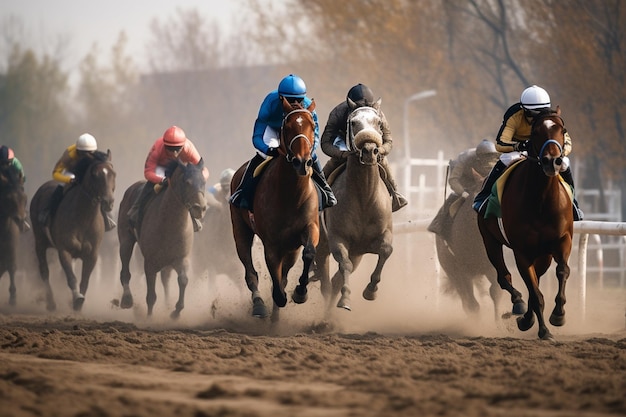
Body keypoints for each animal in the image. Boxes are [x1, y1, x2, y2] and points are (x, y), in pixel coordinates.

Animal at [29, 151, 114, 310]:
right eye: (95, 174)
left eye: (113, 174)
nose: (108, 202)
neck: (84, 218)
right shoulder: (64, 250)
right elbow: (71, 277)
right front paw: (77, 298)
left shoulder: (92, 255)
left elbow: (84, 281)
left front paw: (77, 305)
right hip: (40, 241)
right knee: (44, 271)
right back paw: (51, 303)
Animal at [116, 158, 206, 316]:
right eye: (186, 182)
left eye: (204, 182)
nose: (199, 208)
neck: (169, 225)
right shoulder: (150, 263)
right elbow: (151, 296)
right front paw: (150, 317)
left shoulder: (180, 258)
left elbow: (183, 280)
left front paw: (175, 312)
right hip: (125, 239)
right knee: (125, 271)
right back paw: (127, 299)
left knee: (166, 279)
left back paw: (167, 304)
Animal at [228, 97, 316, 318]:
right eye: (288, 126)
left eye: (312, 126)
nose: (302, 162)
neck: (291, 196)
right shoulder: (271, 243)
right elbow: (275, 278)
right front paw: (279, 297)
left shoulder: (308, 229)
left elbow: (309, 254)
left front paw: (300, 293)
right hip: (240, 229)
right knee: (250, 271)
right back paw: (259, 305)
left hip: (291, 248)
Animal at [314, 105, 392, 310]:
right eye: (353, 122)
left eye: (379, 123)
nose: (369, 150)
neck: (364, 198)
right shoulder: (337, 239)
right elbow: (344, 265)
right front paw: (346, 299)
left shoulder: (380, 236)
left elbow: (386, 250)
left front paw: (371, 291)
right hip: (321, 245)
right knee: (326, 283)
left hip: (357, 253)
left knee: (333, 282)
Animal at [476, 106, 572, 338]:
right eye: (535, 132)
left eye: (562, 129)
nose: (552, 161)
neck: (541, 201)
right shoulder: (522, 250)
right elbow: (535, 293)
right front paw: (544, 331)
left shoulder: (562, 240)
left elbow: (562, 271)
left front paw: (558, 314)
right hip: (489, 239)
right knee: (505, 277)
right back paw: (519, 305)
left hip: (544, 254)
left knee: (535, 279)